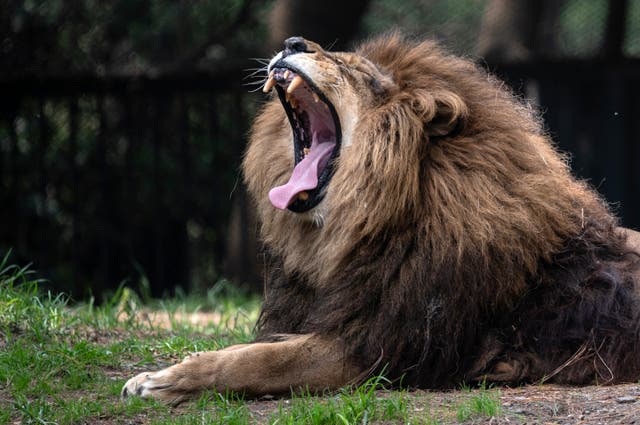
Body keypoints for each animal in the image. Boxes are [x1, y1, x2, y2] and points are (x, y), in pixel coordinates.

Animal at [122, 34, 640, 404]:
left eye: (354, 70)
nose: (293, 42)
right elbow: (245, 349)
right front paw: (156, 371)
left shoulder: (377, 348)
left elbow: (258, 362)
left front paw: (165, 382)